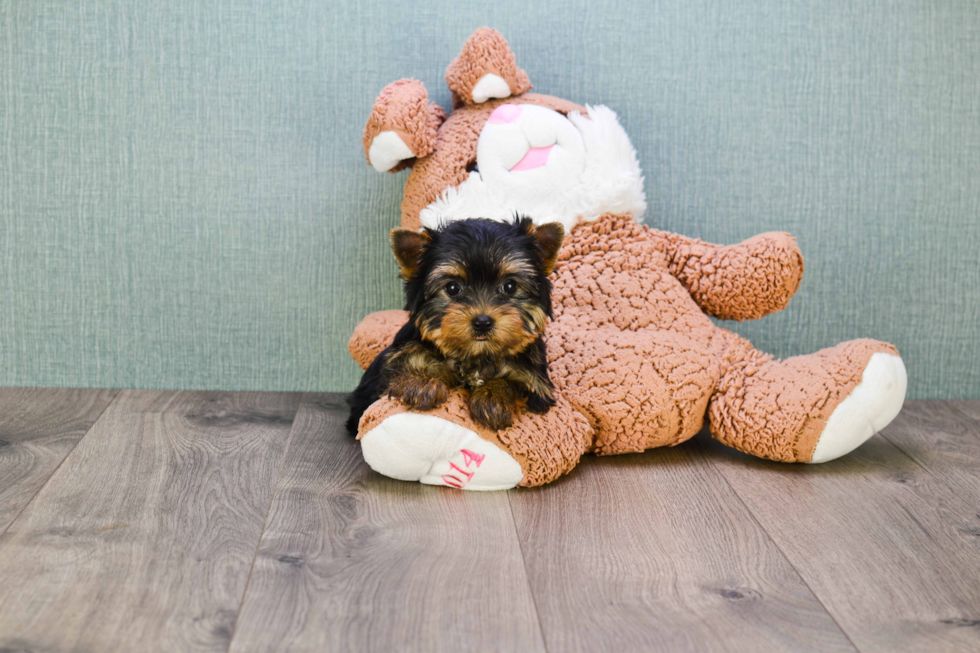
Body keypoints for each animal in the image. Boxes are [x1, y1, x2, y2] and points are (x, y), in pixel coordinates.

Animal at [348, 216, 568, 436]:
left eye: (510, 286)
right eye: (452, 288)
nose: (482, 322)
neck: (475, 356)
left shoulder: (535, 382)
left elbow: (514, 381)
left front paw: (493, 397)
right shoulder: (396, 360)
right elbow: (405, 364)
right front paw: (421, 381)